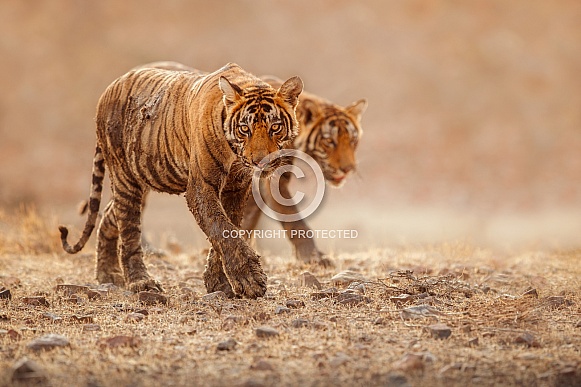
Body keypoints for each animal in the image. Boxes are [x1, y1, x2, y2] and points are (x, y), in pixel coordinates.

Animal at [57, 63, 304, 300]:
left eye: (275, 127)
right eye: (245, 128)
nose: (260, 161)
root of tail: (110, 88)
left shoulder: (235, 188)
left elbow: (228, 228)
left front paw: (219, 283)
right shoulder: (201, 187)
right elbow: (222, 228)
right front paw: (249, 280)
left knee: (110, 215)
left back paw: (107, 273)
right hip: (125, 177)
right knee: (128, 230)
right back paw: (140, 282)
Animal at [241, 77, 368, 268]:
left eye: (352, 140)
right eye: (329, 141)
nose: (348, 169)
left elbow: (247, 219)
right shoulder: (274, 180)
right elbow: (294, 219)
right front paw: (313, 257)